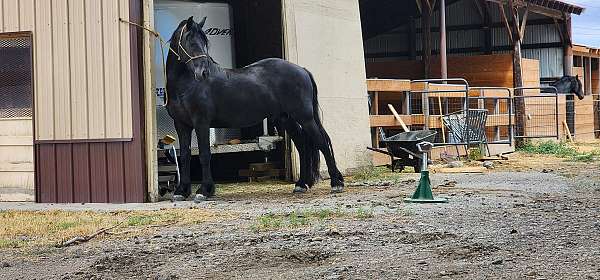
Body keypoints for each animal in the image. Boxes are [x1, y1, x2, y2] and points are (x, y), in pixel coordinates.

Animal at [166, 16, 344, 201]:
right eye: (190, 41)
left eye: (204, 42)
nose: (204, 73)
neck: (187, 86)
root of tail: (302, 70)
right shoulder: (181, 125)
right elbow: (184, 156)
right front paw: (181, 191)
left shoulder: (201, 123)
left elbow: (204, 155)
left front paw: (204, 190)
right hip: (286, 119)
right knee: (302, 145)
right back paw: (301, 184)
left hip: (305, 117)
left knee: (321, 142)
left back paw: (336, 183)